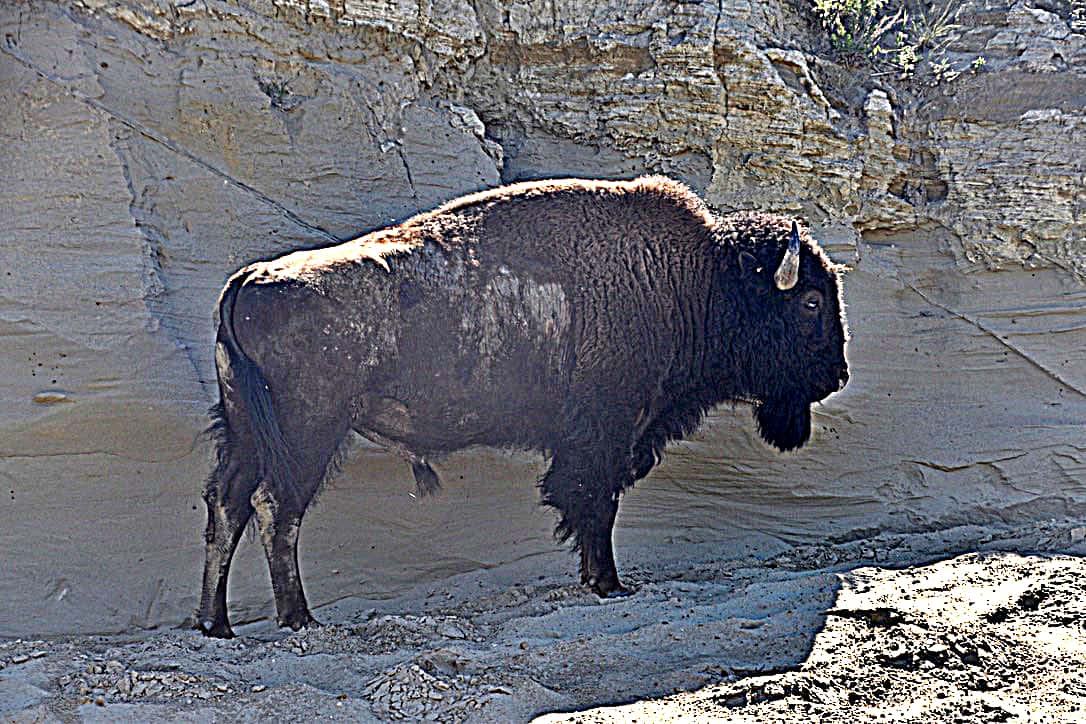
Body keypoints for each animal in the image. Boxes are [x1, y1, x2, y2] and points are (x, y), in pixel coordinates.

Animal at [195, 176, 849, 638]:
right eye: (812, 301)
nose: (838, 375)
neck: (696, 279)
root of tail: (250, 279)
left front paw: (598, 580)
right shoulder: (604, 433)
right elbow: (595, 502)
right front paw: (609, 584)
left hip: (246, 432)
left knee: (228, 504)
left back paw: (216, 624)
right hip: (307, 434)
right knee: (277, 508)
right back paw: (298, 618)